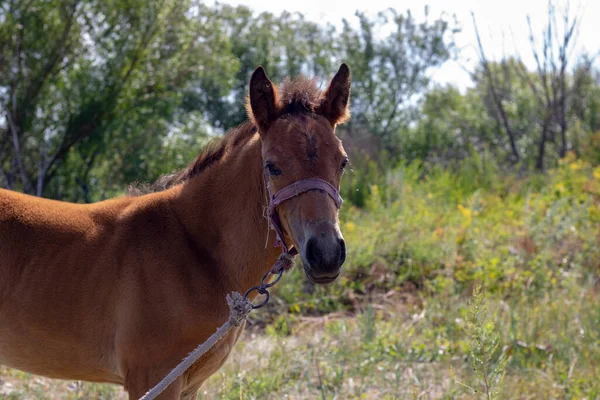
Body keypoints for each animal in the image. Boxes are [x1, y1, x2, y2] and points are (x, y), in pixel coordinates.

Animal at [0, 64, 352, 398]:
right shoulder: (153, 378)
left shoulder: (187, 385)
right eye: (272, 166)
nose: (326, 254)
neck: (193, 249)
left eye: (343, 163)